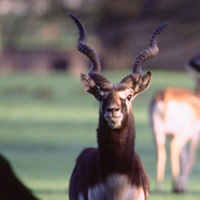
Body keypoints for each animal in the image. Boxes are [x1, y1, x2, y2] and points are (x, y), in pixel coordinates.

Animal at [150, 54, 200, 192]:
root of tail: (165, 96)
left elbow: (184, 157)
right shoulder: (195, 136)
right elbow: (191, 158)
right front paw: (182, 186)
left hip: (158, 133)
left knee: (161, 154)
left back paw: (160, 187)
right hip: (182, 134)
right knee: (173, 148)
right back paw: (175, 187)